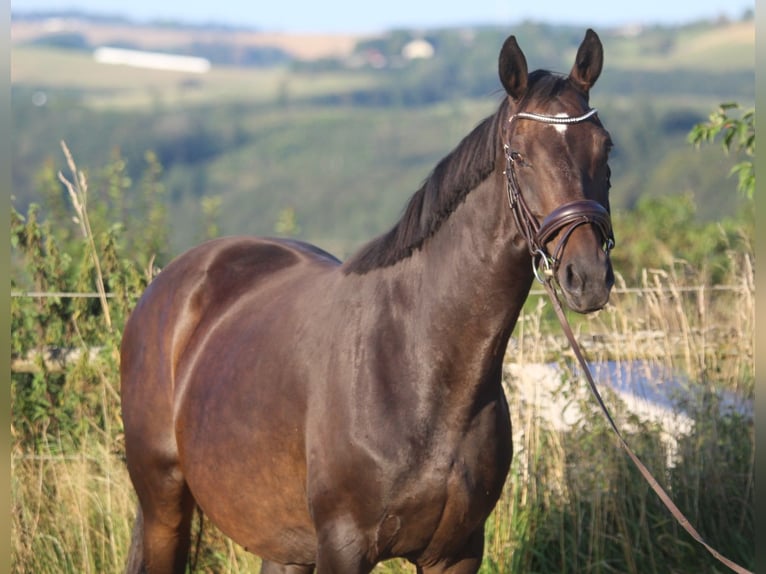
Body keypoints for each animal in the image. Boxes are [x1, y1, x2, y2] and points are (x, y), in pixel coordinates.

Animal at [120, 28, 616, 574]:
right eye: (521, 155)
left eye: (605, 148)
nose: (588, 276)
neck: (418, 362)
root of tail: (171, 284)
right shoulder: (344, 545)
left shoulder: (457, 552)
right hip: (164, 507)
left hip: (283, 542)